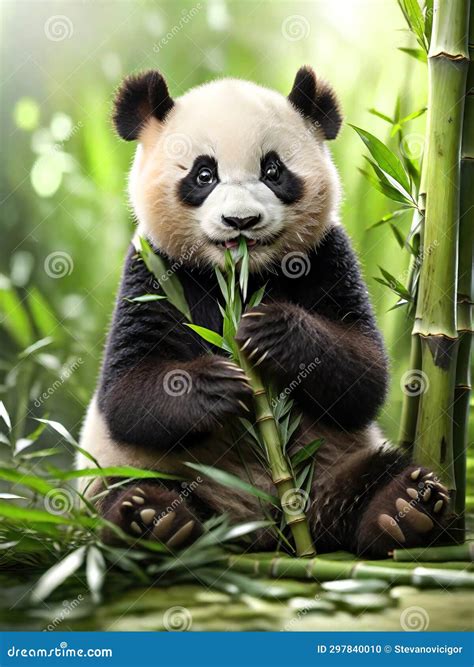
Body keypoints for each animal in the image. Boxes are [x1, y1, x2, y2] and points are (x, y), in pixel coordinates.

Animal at [77, 66, 450, 557]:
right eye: (204, 174)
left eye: (273, 171)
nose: (241, 222)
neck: (240, 279)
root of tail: (261, 528)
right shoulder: (152, 271)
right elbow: (126, 390)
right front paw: (215, 384)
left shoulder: (328, 254)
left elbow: (365, 373)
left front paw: (277, 332)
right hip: (134, 469)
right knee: (123, 491)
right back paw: (154, 522)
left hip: (332, 466)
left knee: (377, 475)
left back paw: (405, 510)